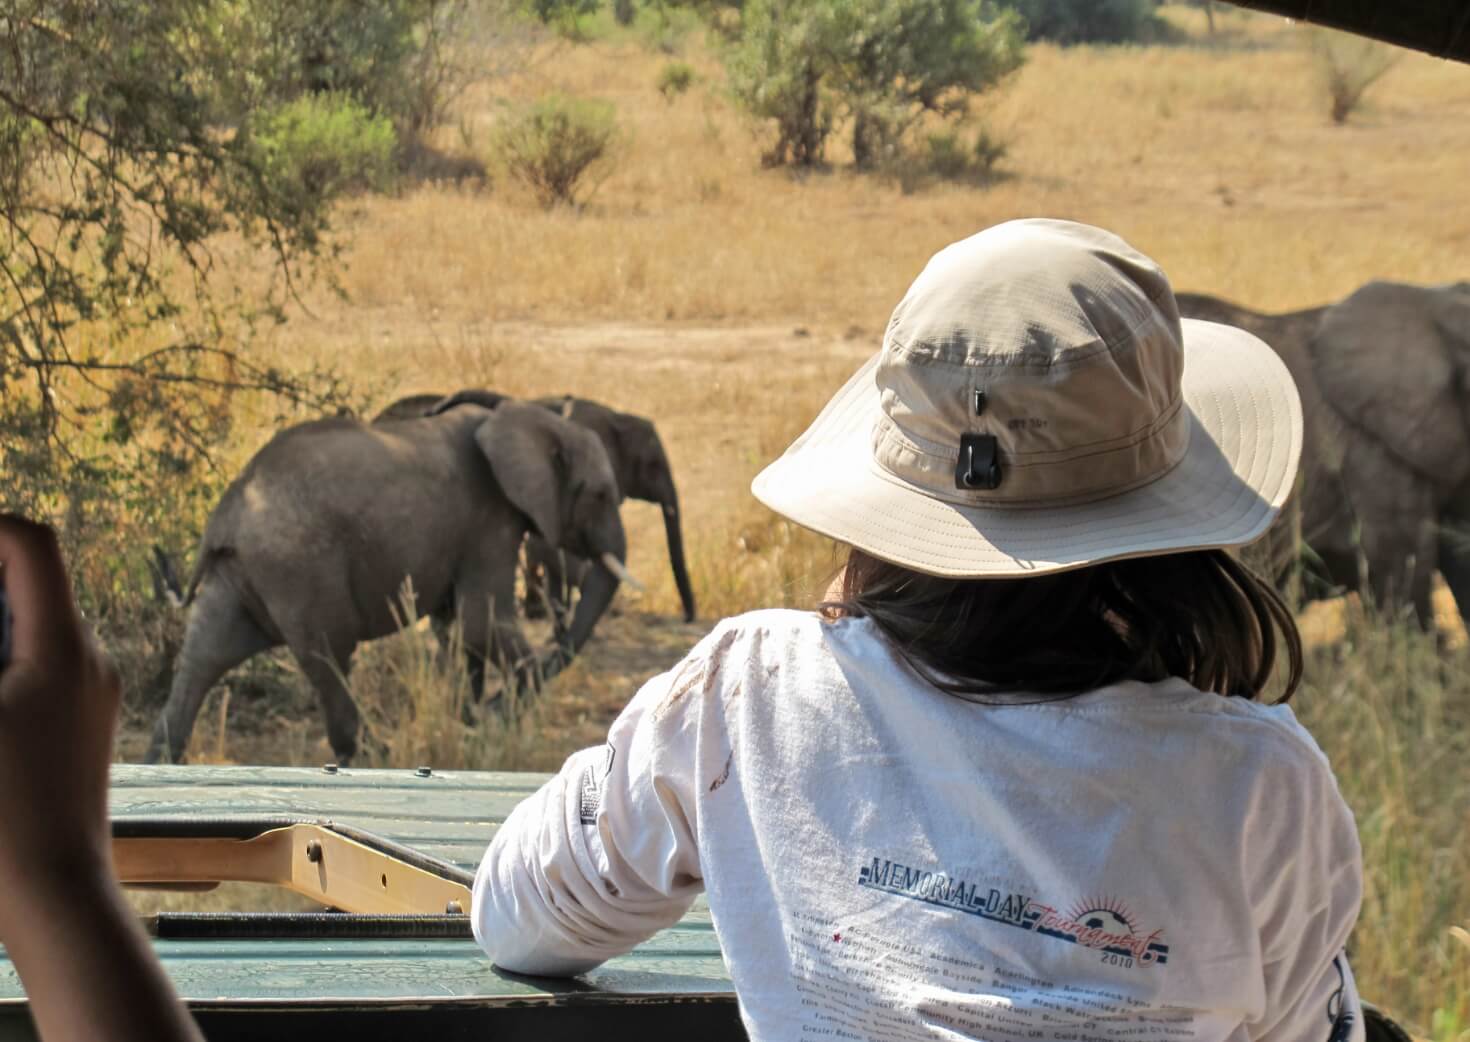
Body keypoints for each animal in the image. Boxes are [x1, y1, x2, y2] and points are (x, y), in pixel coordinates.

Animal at [144, 399, 632, 764]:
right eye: (601, 495)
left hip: (242, 572)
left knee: (205, 654)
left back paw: (159, 760)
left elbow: (456, 628)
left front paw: (472, 719)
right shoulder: (489, 520)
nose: (491, 707)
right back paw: (372, 756)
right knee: (328, 655)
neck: (535, 420)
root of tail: (228, 512)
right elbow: (480, 621)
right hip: (299, 568)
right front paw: (493, 721)